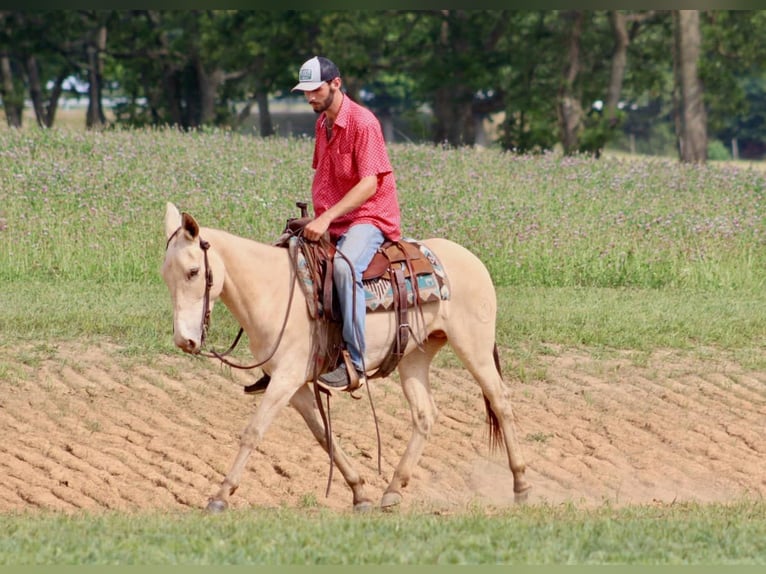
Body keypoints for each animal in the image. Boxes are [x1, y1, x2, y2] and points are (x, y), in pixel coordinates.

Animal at [161, 201, 532, 512]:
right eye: (167, 275)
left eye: (193, 272)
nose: (184, 340)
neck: (274, 291)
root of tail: (472, 259)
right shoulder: (296, 386)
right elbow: (324, 436)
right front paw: (359, 492)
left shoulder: (286, 378)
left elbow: (254, 431)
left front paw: (220, 495)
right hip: (415, 355)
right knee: (425, 415)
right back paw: (392, 490)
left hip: (474, 347)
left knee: (500, 401)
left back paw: (521, 485)